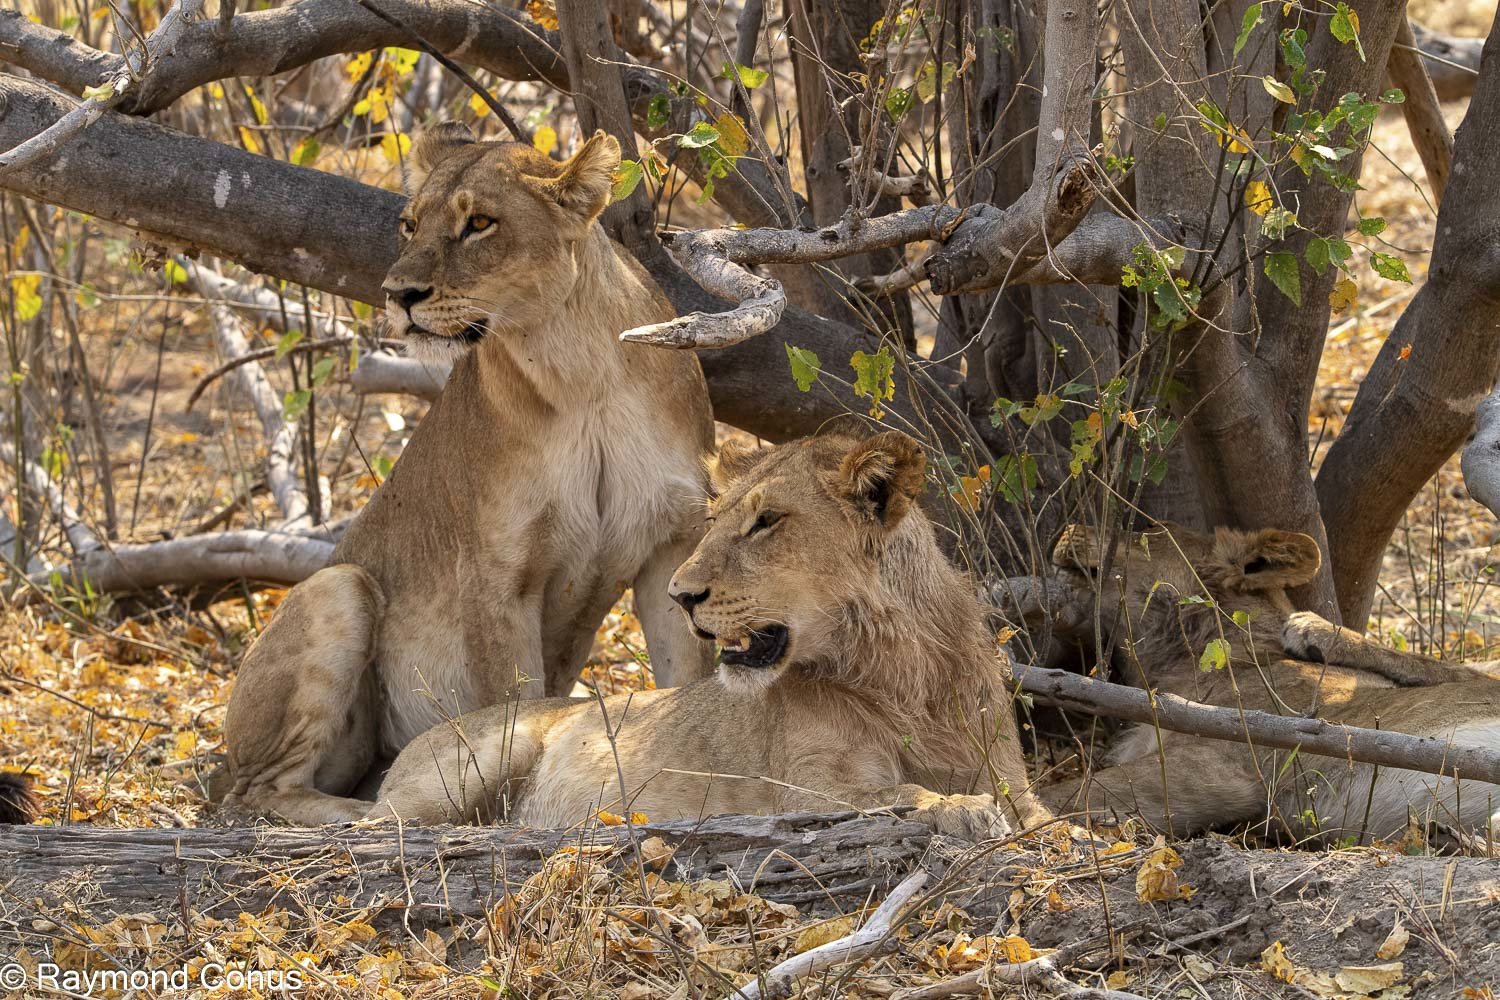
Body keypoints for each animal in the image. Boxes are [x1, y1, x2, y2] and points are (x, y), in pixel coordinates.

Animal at [217, 126, 715, 825]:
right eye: (409, 225)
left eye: (480, 223)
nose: (398, 294)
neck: (580, 370)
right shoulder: (496, 575)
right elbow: (513, 706)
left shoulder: (672, 546)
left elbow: (687, 681)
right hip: (340, 586)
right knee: (257, 794)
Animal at [367, 431, 1051, 839]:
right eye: (716, 520)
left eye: (766, 522)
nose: (679, 594)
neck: (902, 670)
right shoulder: (802, 792)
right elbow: (902, 791)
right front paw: (964, 810)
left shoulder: (1009, 774)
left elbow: (1048, 816)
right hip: (480, 759)